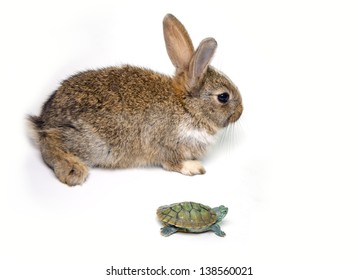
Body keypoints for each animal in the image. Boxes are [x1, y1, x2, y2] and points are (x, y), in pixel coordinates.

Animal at [26, 14, 242, 187]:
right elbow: (172, 162)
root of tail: (44, 121)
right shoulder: (165, 143)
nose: (240, 112)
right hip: (90, 142)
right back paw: (72, 169)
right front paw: (193, 167)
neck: (187, 107)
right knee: (49, 143)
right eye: (223, 97)